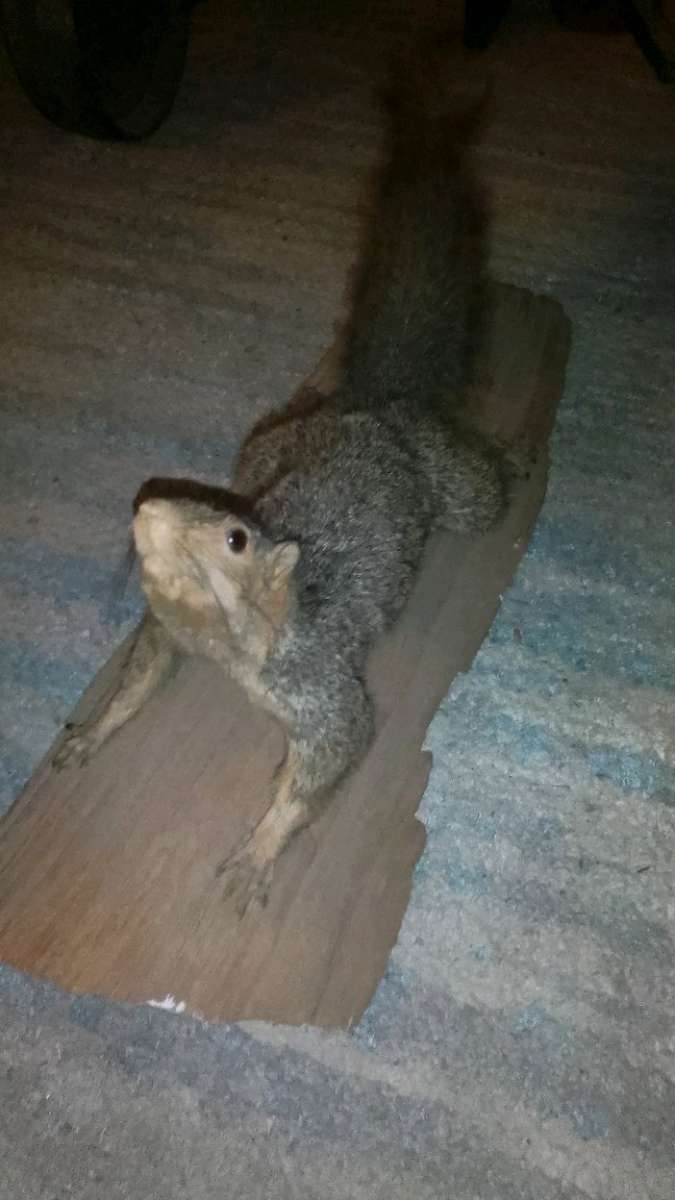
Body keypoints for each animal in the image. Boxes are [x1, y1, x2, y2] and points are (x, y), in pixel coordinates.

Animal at [54, 43, 511, 914]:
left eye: (235, 536)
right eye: (176, 500)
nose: (147, 508)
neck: (226, 645)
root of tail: (369, 406)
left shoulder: (320, 684)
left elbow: (327, 761)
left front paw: (258, 854)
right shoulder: (166, 633)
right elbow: (135, 682)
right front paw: (92, 731)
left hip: (456, 489)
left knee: (486, 495)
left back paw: (516, 461)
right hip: (261, 442)